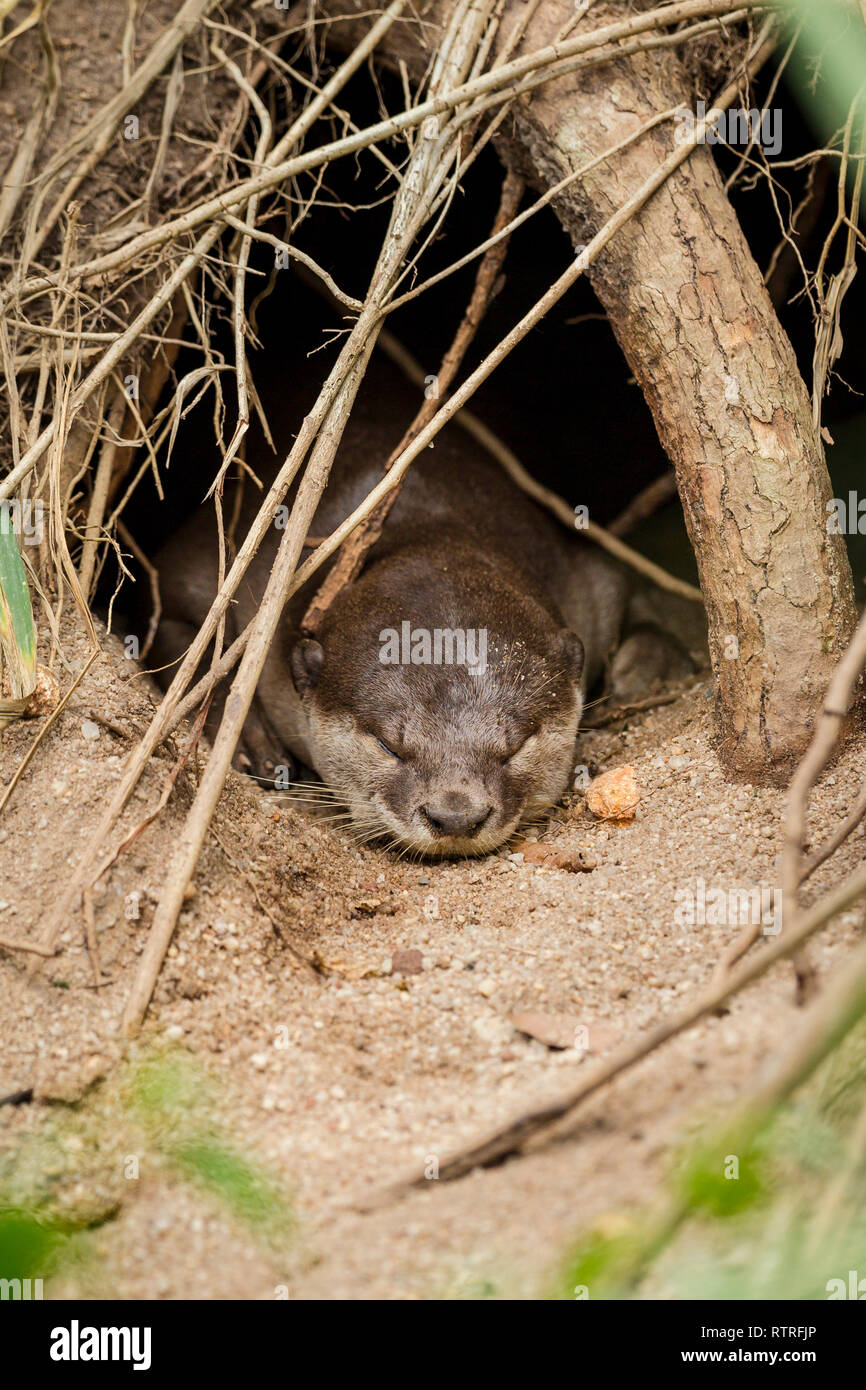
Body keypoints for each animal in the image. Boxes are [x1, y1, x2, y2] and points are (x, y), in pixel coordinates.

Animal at [149, 358, 695, 857]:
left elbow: (628, 586)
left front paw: (649, 665)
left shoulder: (585, 582)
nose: (455, 816)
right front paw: (250, 741)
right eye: (389, 746)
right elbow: (178, 626)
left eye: (515, 746)